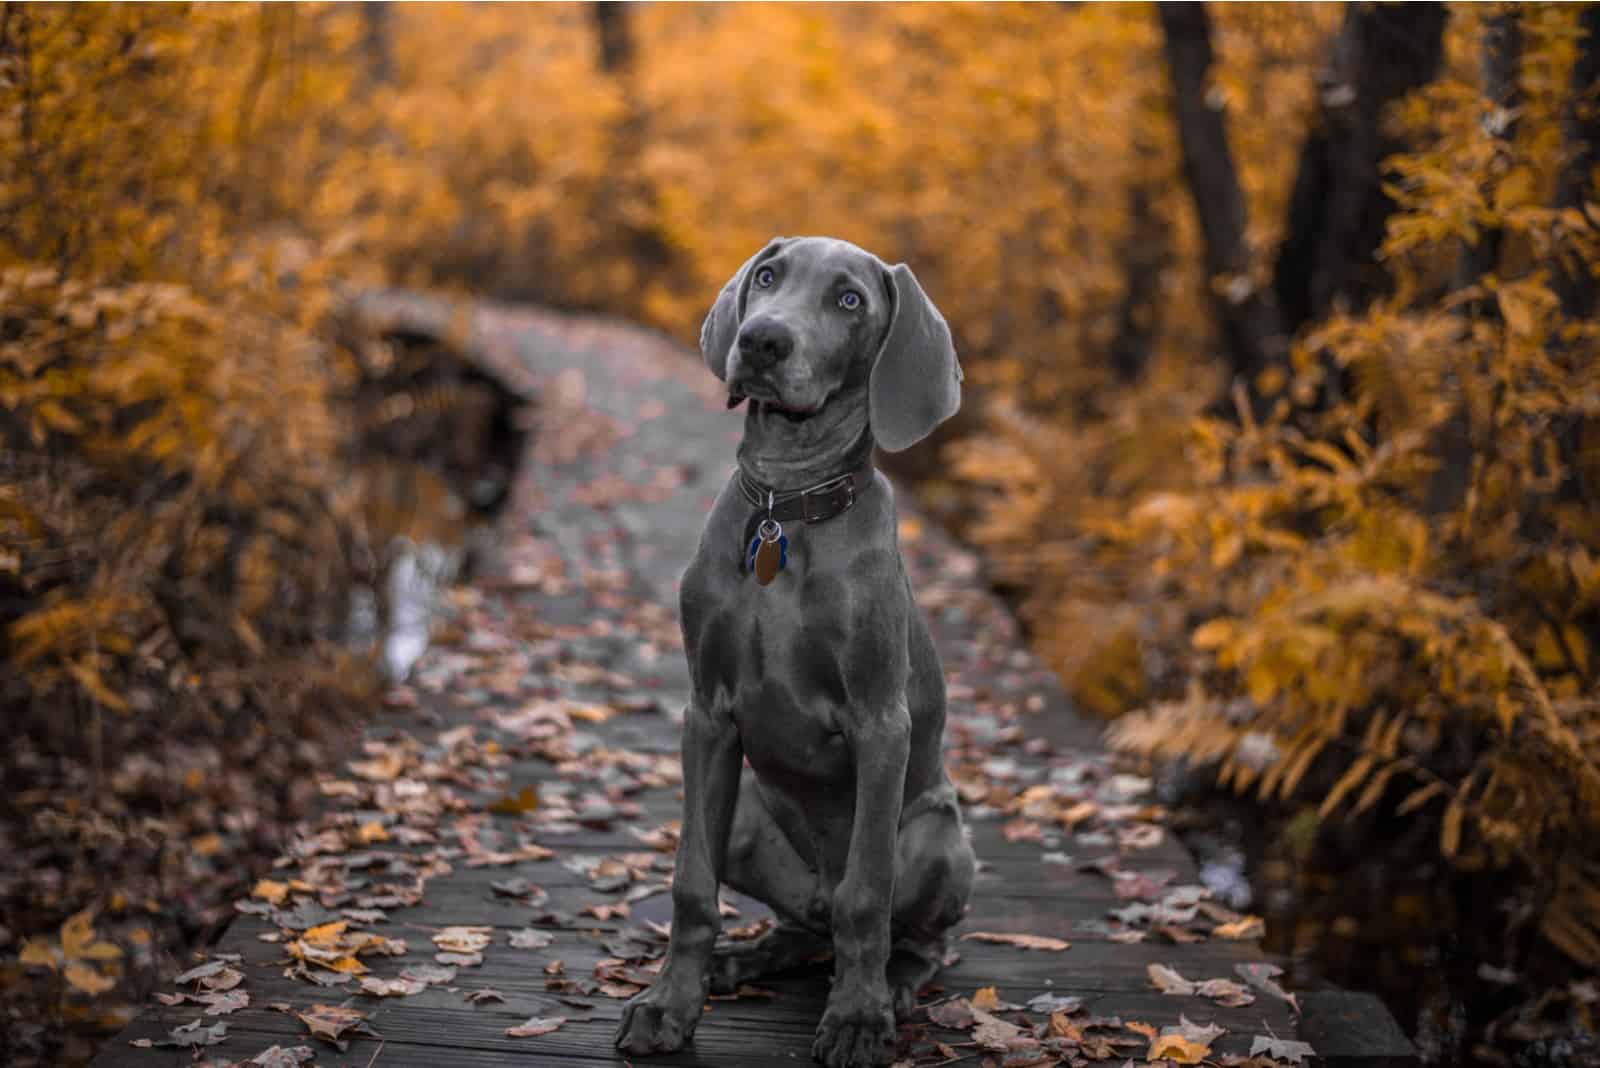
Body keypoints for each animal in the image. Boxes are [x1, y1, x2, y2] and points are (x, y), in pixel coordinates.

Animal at [617, 238, 972, 1061]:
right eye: (768, 277)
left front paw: (857, 1018)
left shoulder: (881, 724)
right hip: (748, 816)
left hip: (939, 838)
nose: (761, 342)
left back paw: (893, 988)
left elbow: (866, 897)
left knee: (911, 936)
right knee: (803, 926)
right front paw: (668, 1004)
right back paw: (741, 959)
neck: (788, 503)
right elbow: (691, 886)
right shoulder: (707, 715)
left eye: (849, 301)